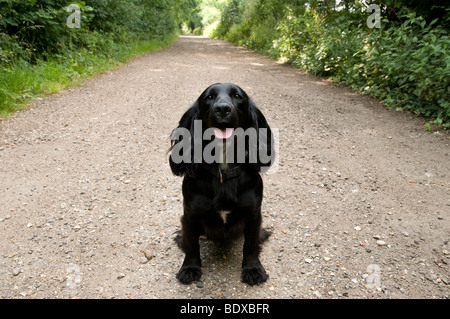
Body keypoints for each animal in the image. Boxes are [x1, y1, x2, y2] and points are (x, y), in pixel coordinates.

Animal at [169, 84, 274, 286]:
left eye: (238, 96)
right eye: (208, 98)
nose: (223, 109)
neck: (223, 169)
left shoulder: (253, 213)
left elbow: (250, 245)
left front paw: (253, 269)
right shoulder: (190, 214)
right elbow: (191, 244)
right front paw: (189, 268)